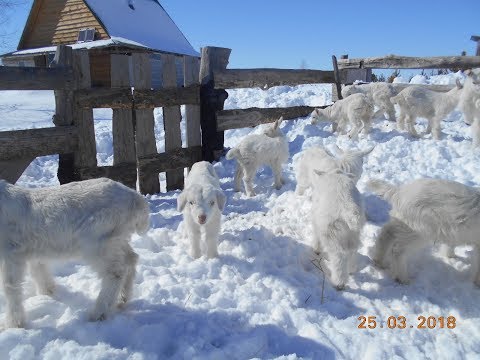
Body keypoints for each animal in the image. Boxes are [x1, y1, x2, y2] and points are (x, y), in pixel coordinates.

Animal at [0, 179, 150, 328]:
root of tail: (135, 198)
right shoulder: (32, 250)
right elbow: (38, 270)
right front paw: (48, 292)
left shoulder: (11, 253)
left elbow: (10, 286)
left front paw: (13, 324)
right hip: (116, 239)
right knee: (131, 258)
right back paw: (122, 300)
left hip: (96, 243)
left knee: (115, 272)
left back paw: (98, 314)